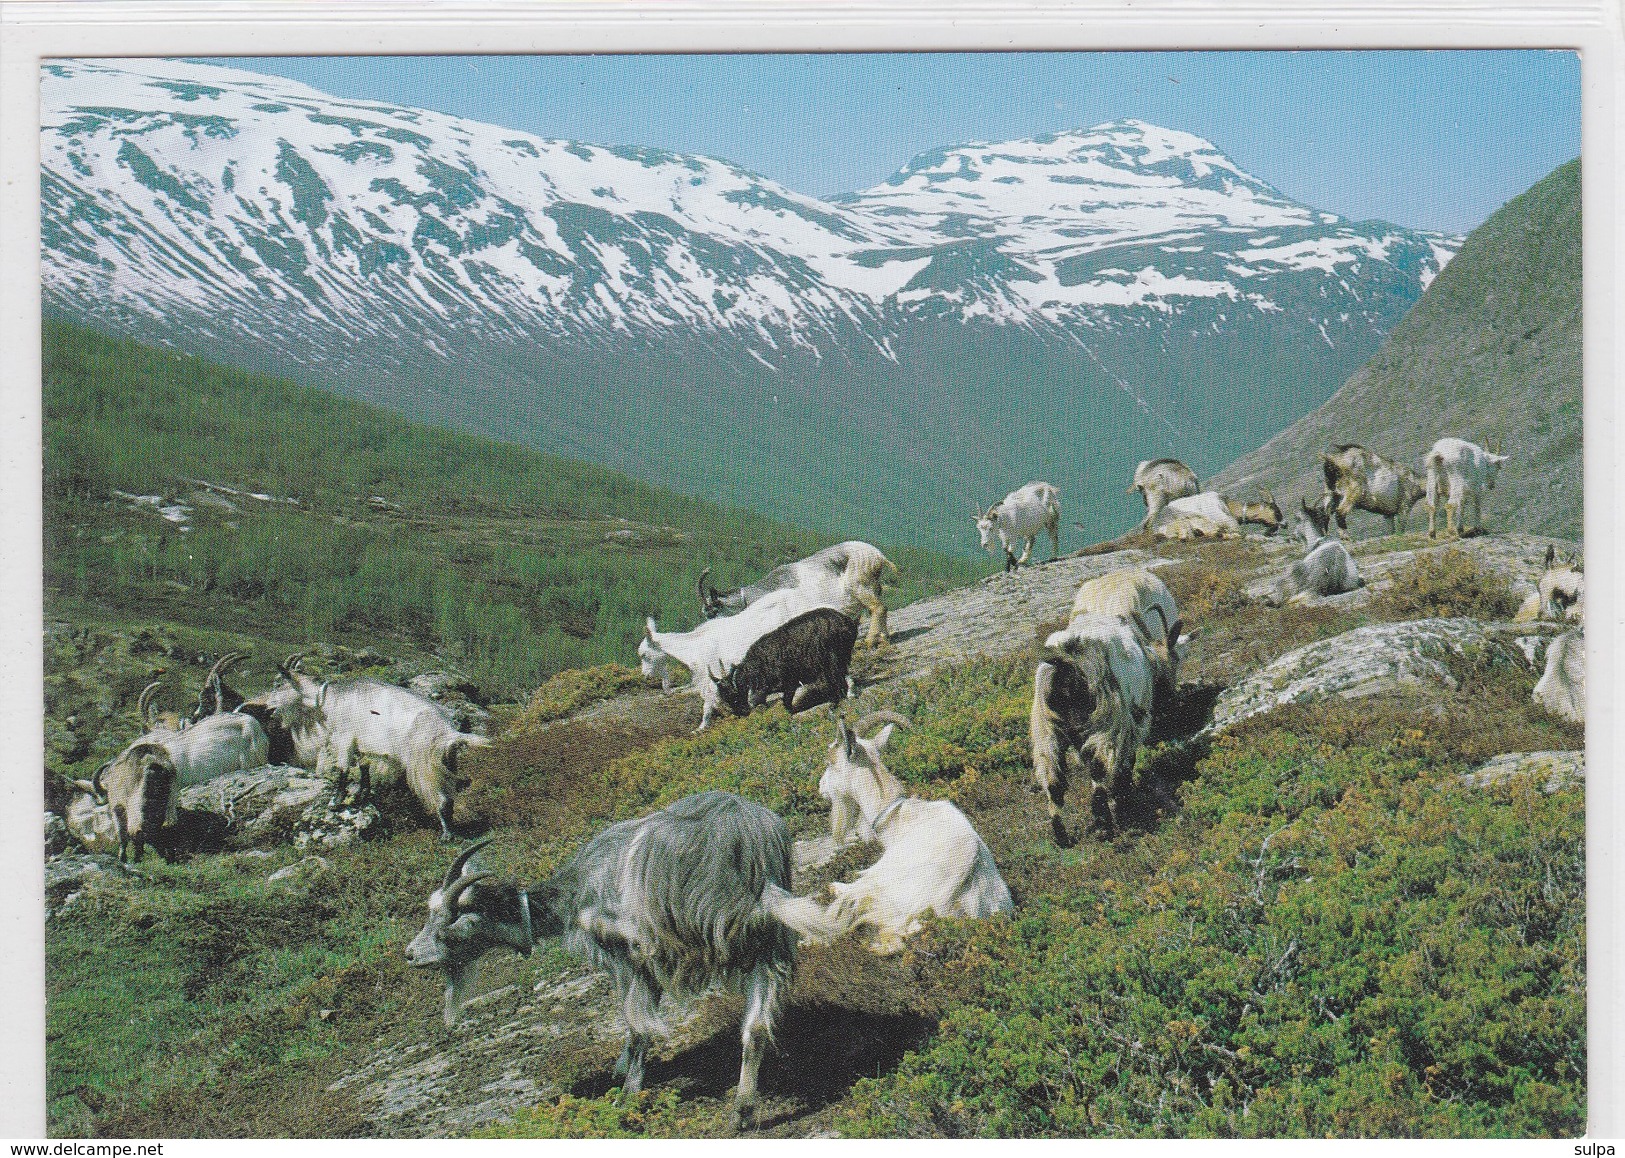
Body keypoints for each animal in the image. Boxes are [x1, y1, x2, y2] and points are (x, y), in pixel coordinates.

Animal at [253, 659, 487, 838]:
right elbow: (364, 767)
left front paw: (335, 802)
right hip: (446, 761)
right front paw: (361, 795)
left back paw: (447, 834)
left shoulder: (345, 738)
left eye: (278, 684)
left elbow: (343, 769)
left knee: (441, 797)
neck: (330, 700)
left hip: (424, 763)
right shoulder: (364, 746)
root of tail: (447, 731)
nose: (266, 709)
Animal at [406, 789, 845, 1123]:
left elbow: (636, 1024)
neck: (575, 893)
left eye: (450, 921)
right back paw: (742, 1112)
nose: (411, 955)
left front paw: (627, 1087)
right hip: (770, 946)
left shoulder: (635, 954)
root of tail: (747, 858)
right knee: (755, 1028)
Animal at [698, 539, 903, 646]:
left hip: (860, 586)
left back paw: (870, 641)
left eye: (712, 611)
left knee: (878, 608)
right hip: (873, 586)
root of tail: (878, 556)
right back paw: (885, 638)